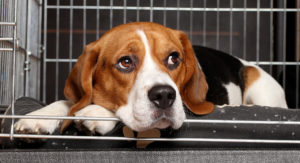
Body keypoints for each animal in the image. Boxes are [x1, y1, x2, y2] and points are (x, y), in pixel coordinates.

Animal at [14, 22, 288, 136]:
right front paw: (39, 117)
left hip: (258, 82)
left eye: (174, 58)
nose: (164, 95)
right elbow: (68, 103)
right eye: (125, 62)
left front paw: (97, 113)